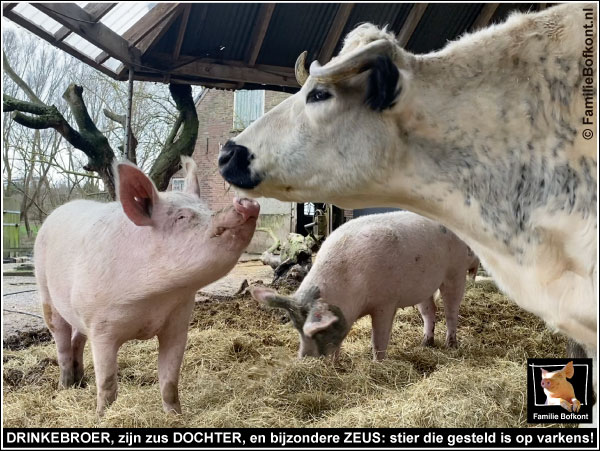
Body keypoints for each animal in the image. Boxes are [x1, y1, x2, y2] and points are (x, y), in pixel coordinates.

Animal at [32, 156, 258, 416]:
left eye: (207, 208)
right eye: (181, 217)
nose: (248, 203)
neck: (154, 299)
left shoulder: (178, 323)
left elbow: (170, 379)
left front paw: (175, 416)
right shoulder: (101, 328)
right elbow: (107, 382)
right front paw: (102, 416)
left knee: (77, 338)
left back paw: (81, 382)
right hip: (45, 291)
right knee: (61, 341)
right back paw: (65, 386)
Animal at [251, 210, 480, 362]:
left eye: (318, 331)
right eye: (297, 328)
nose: (304, 360)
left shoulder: (386, 303)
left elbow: (379, 337)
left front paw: (378, 363)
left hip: (455, 271)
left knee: (451, 311)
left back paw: (451, 345)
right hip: (425, 284)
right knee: (429, 310)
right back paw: (425, 343)